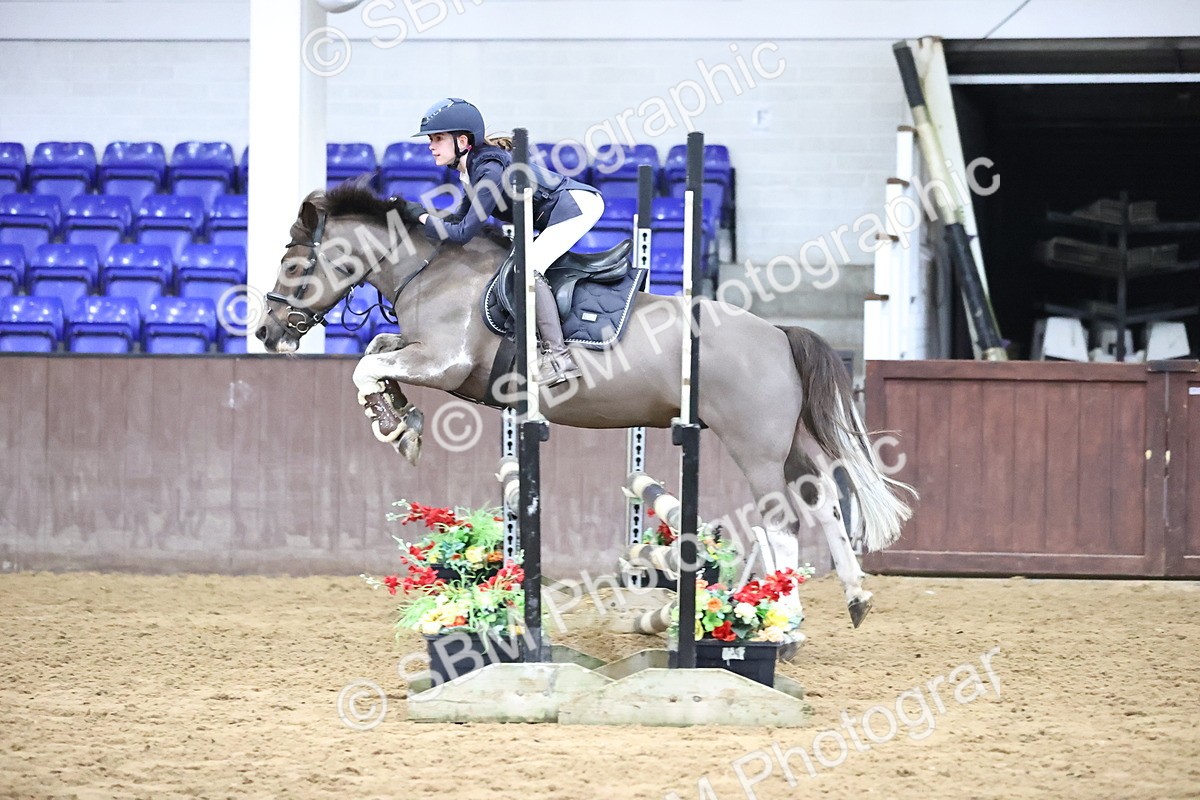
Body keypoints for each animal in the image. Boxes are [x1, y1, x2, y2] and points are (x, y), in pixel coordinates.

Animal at [255, 181, 915, 626]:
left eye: (292, 262)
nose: (266, 332)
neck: (430, 271)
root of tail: (777, 333)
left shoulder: (446, 362)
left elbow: (367, 363)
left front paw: (396, 425)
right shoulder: (425, 355)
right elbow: (376, 351)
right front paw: (400, 420)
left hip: (752, 444)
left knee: (781, 518)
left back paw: (784, 618)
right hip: (790, 438)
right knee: (824, 497)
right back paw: (854, 596)